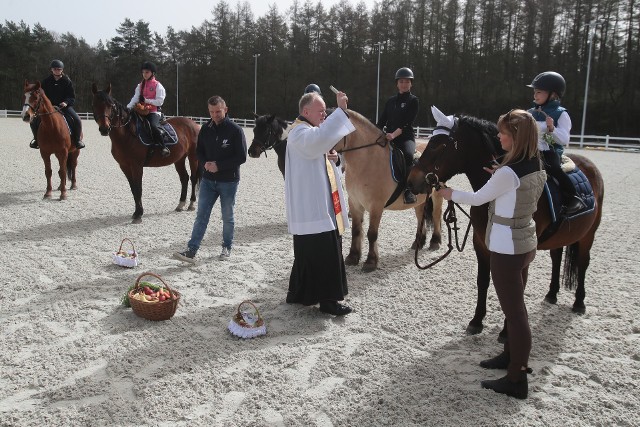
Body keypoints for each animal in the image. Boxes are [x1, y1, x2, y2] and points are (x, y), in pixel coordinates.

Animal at [90, 83, 200, 224]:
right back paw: (180, 204)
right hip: (179, 159)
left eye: (111, 106)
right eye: (94, 105)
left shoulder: (137, 166)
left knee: (193, 178)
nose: (104, 128)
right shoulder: (124, 166)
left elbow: (138, 188)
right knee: (184, 178)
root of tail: (195, 124)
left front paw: (139, 214)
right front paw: (136, 212)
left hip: (193, 157)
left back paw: (191, 204)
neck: (128, 134)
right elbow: (133, 188)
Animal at [408, 110, 604, 338]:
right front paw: (477, 321)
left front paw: (505, 332)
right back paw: (552, 294)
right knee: (556, 258)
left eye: (438, 145)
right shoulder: (481, 245)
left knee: (583, 263)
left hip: (589, 234)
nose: (412, 180)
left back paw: (579, 302)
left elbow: (514, 287)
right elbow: (483, 281)